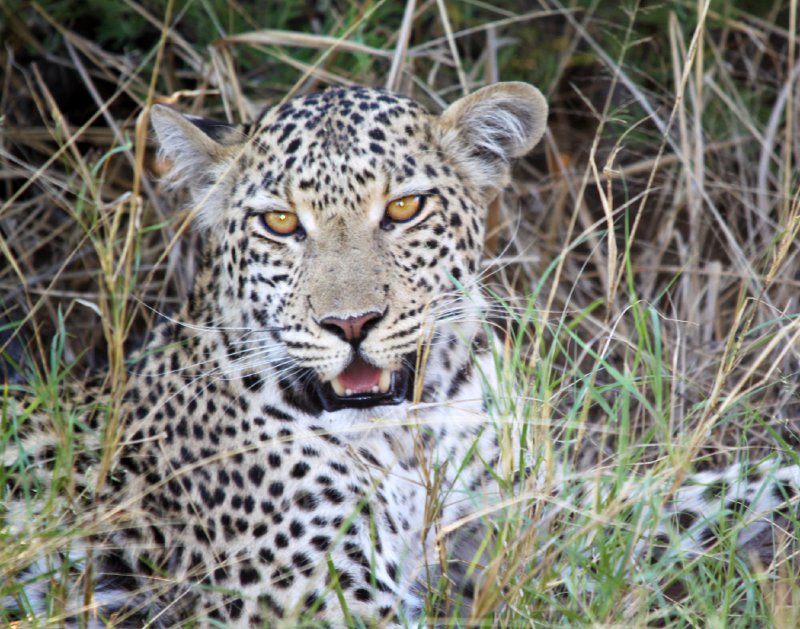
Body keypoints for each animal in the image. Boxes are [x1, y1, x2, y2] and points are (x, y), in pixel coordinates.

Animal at [4, 81, 800, 624]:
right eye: (280, 222)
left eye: (404, 209)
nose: (351, 322)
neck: (413, 437)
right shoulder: (322, 601)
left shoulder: (519, 521)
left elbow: (689, 499)